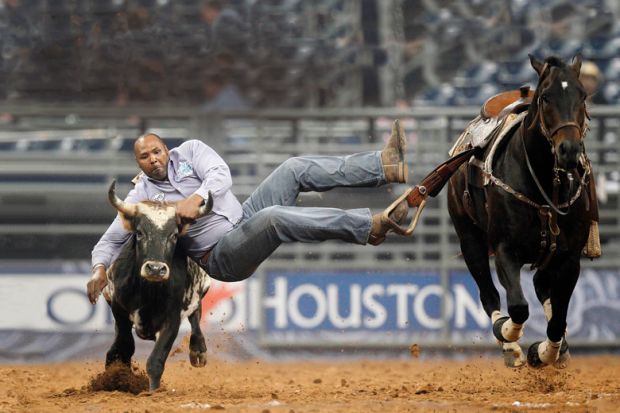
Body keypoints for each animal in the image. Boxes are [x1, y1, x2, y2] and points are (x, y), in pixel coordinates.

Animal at [448, 54, 592, 366]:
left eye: (583, 95)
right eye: (546, 97)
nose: (569, 150)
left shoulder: (570, 258)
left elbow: (558, 319)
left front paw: (545, 352)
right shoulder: (505, 250)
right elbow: (517, 307)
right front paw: (509, 335)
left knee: (541, 286)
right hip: (470, 239)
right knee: (488, 293)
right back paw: (509, 347)